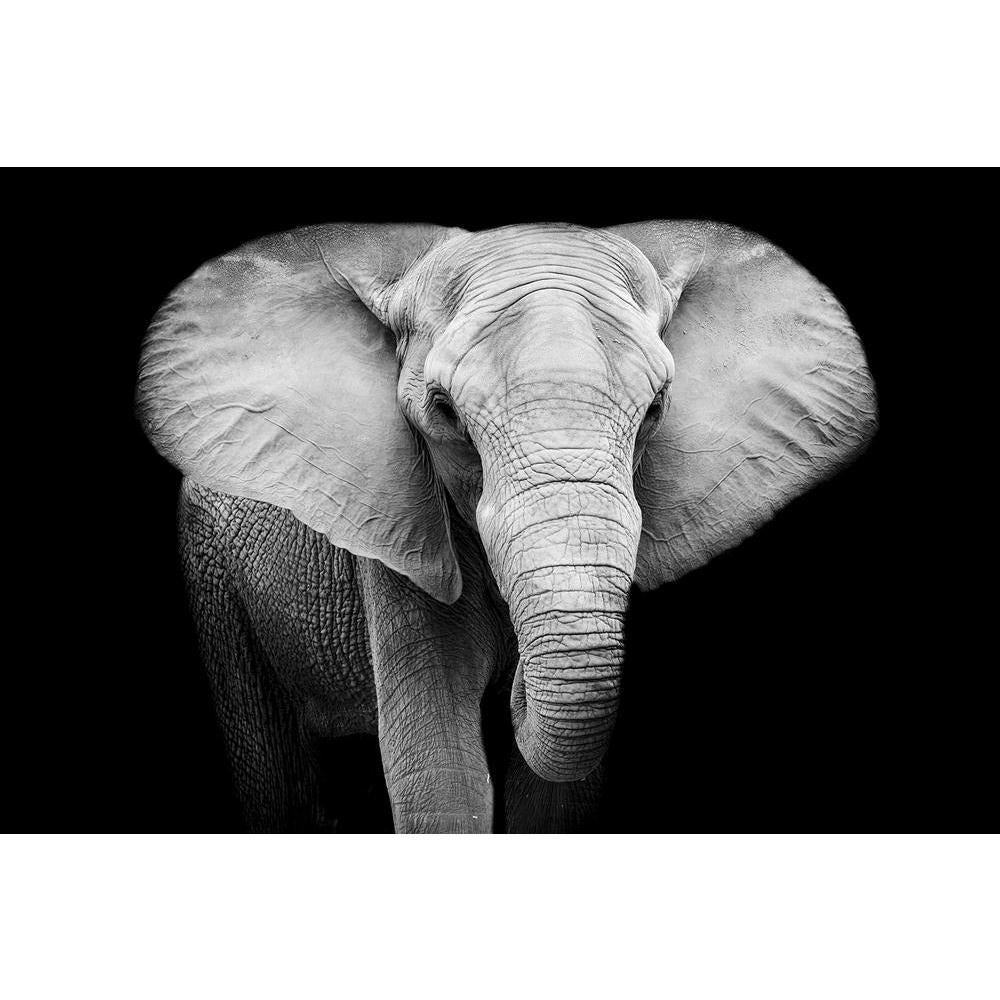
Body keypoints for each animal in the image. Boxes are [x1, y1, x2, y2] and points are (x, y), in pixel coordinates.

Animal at [136, 220, 878, 833]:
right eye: (442, 411)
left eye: (657, 408)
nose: (516, 684)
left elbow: (552, 803)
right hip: (212, 566)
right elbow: (441, 773)